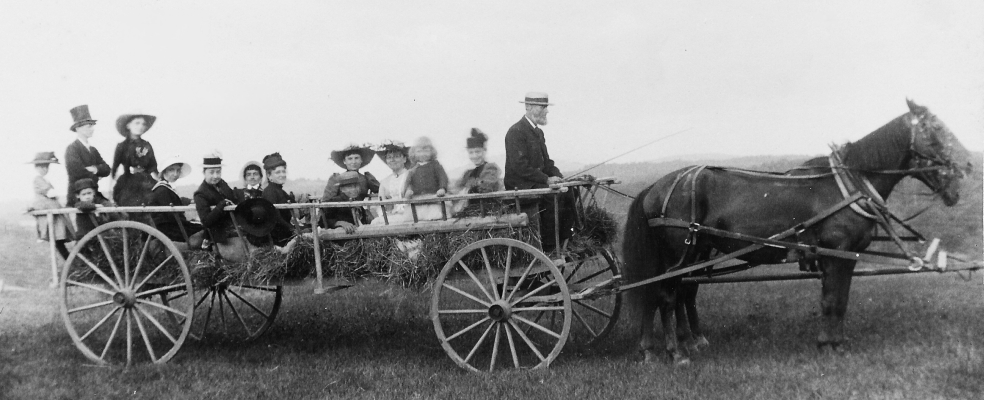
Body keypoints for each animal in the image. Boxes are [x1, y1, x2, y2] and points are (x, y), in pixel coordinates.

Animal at [628, 101, 972, 366]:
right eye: (936, 128)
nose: (967, 165)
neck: (848, 185)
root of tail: (656, 187)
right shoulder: (836, 252)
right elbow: (832, 301)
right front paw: (829, 345)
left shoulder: (845, 256)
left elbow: (839, 299)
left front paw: (836, 343)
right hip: (678, 255)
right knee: (665, 297)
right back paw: (674, 353)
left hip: (693, 254)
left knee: (672, 294)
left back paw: (669, 346)